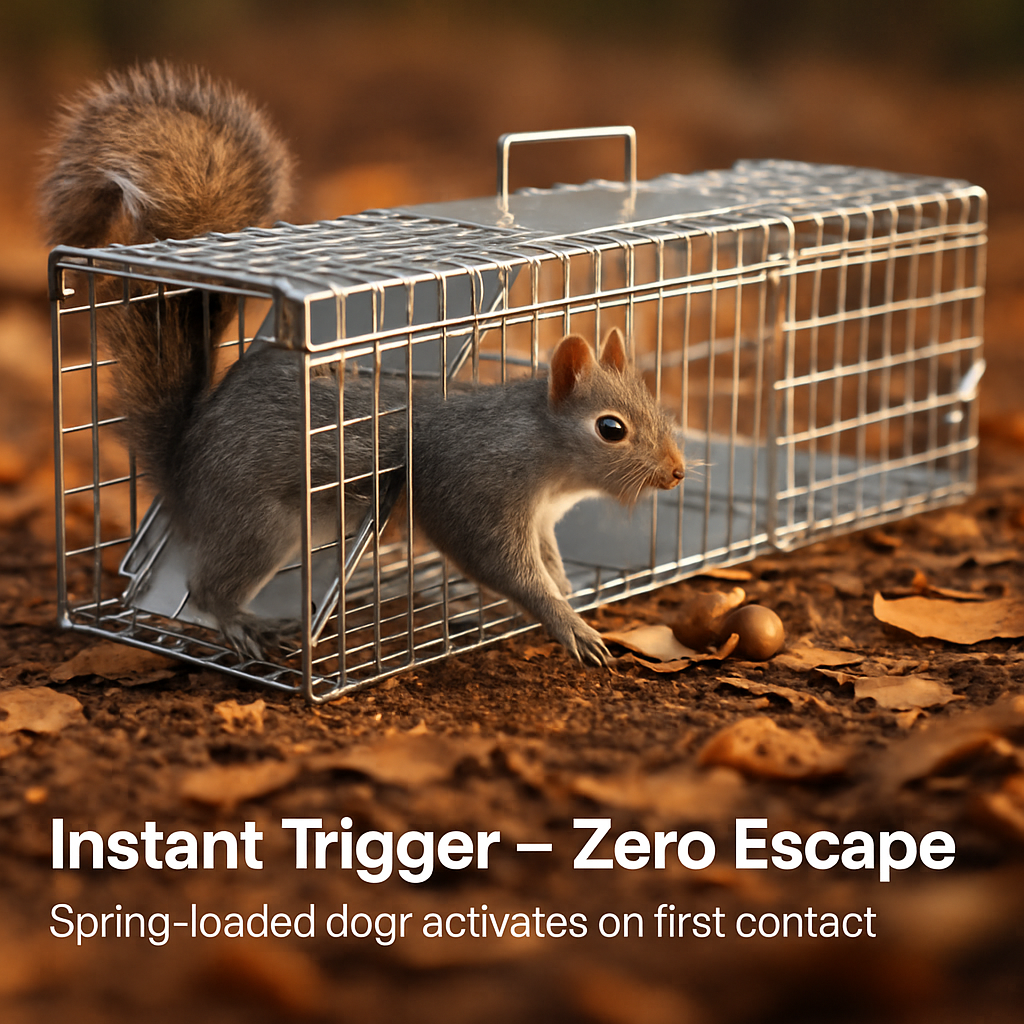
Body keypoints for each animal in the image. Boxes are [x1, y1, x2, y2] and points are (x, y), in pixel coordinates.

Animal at [42, 62, 686, 667]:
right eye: (611, 429)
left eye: (659, 407)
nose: (678, 472)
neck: (547, 458)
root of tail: (181, 473)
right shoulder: (475, 488)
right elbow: (503, 566)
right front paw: (567, 623)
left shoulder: (544, 518)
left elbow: (548, 559)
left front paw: (567, 590)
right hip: (260, 525)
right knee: (209, 588)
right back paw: (242, 623)